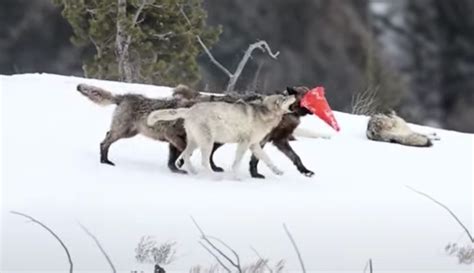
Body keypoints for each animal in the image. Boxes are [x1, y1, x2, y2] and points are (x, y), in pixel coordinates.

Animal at [147, 93, 296, 174]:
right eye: (284, 97)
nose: (293, 94)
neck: (264, 114)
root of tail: (189, 110)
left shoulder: (254, 145)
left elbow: (268, 160)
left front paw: (277, 171)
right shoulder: (244, 144)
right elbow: (236, 163)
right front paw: (236, 177)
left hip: (195, 143)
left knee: (185, 156)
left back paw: (192, 172)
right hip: (207, 143)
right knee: (204, 162)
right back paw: (214, 177)